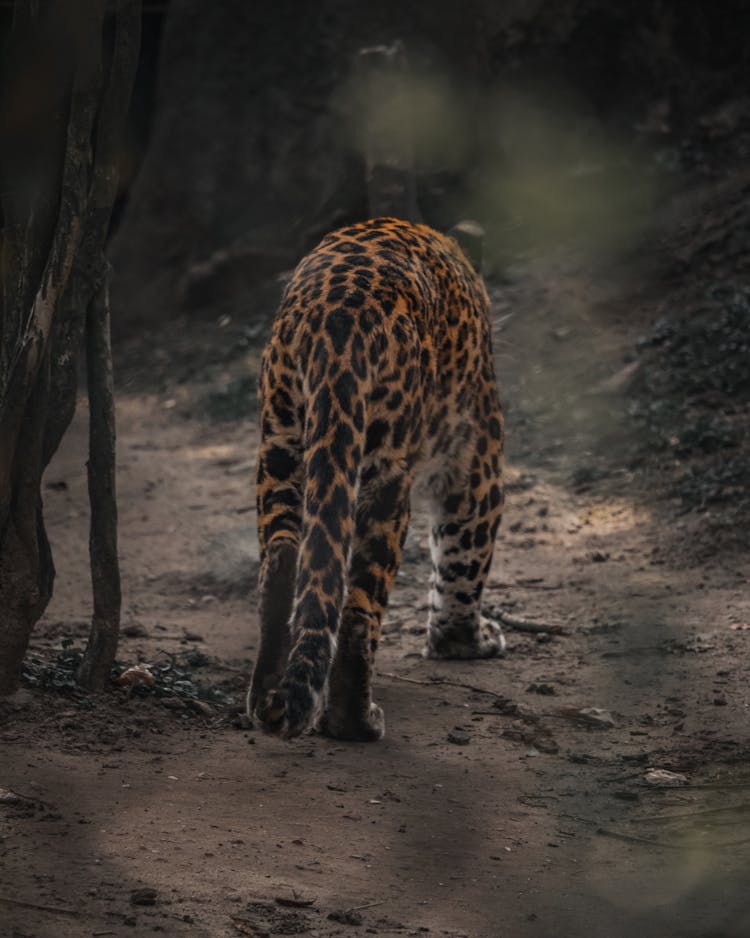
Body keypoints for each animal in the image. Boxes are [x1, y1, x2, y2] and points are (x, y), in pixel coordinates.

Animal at [251, 218, 506, 740]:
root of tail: (338, 312)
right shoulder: (476, 460)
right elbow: (464, 561)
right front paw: (463, 642)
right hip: (385, 475)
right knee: (358, 606)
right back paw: (357, 722)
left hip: (281, 442)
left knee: (283, 557)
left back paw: (265, 699)